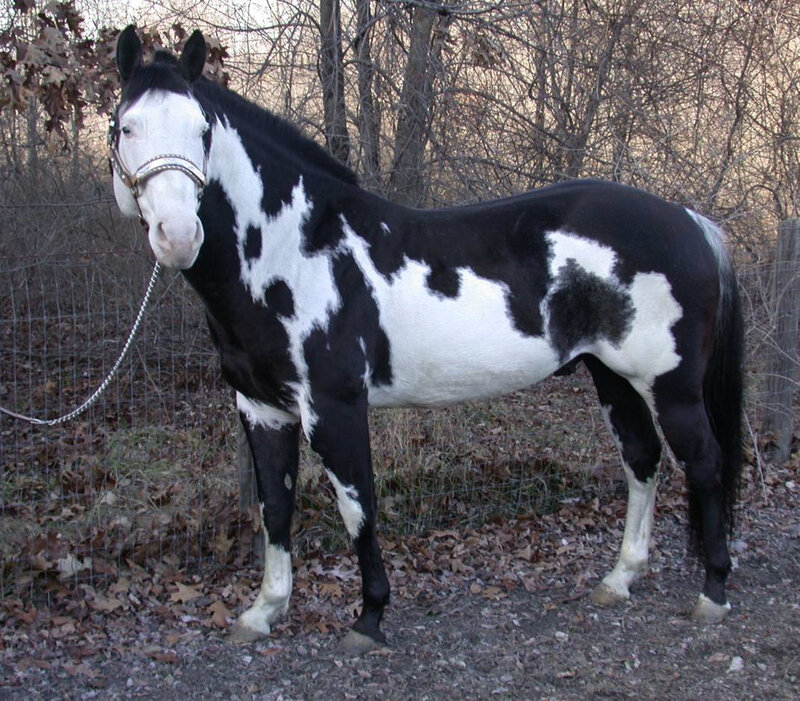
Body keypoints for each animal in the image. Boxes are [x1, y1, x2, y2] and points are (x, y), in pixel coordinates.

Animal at [110, 26, 744, 654]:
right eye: (124, 127)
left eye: (202, 130)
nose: (177, 236)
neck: (295, 249)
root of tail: (687, 219)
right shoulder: (262, 409)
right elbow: (275, 509)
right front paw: (264, 610)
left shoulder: (335, 408)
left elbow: (357, 509)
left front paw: (369, 618)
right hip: (613, 377)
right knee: (642, 459)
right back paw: (620, 579)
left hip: (670, 386)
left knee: (705, 463)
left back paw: (713, 592)